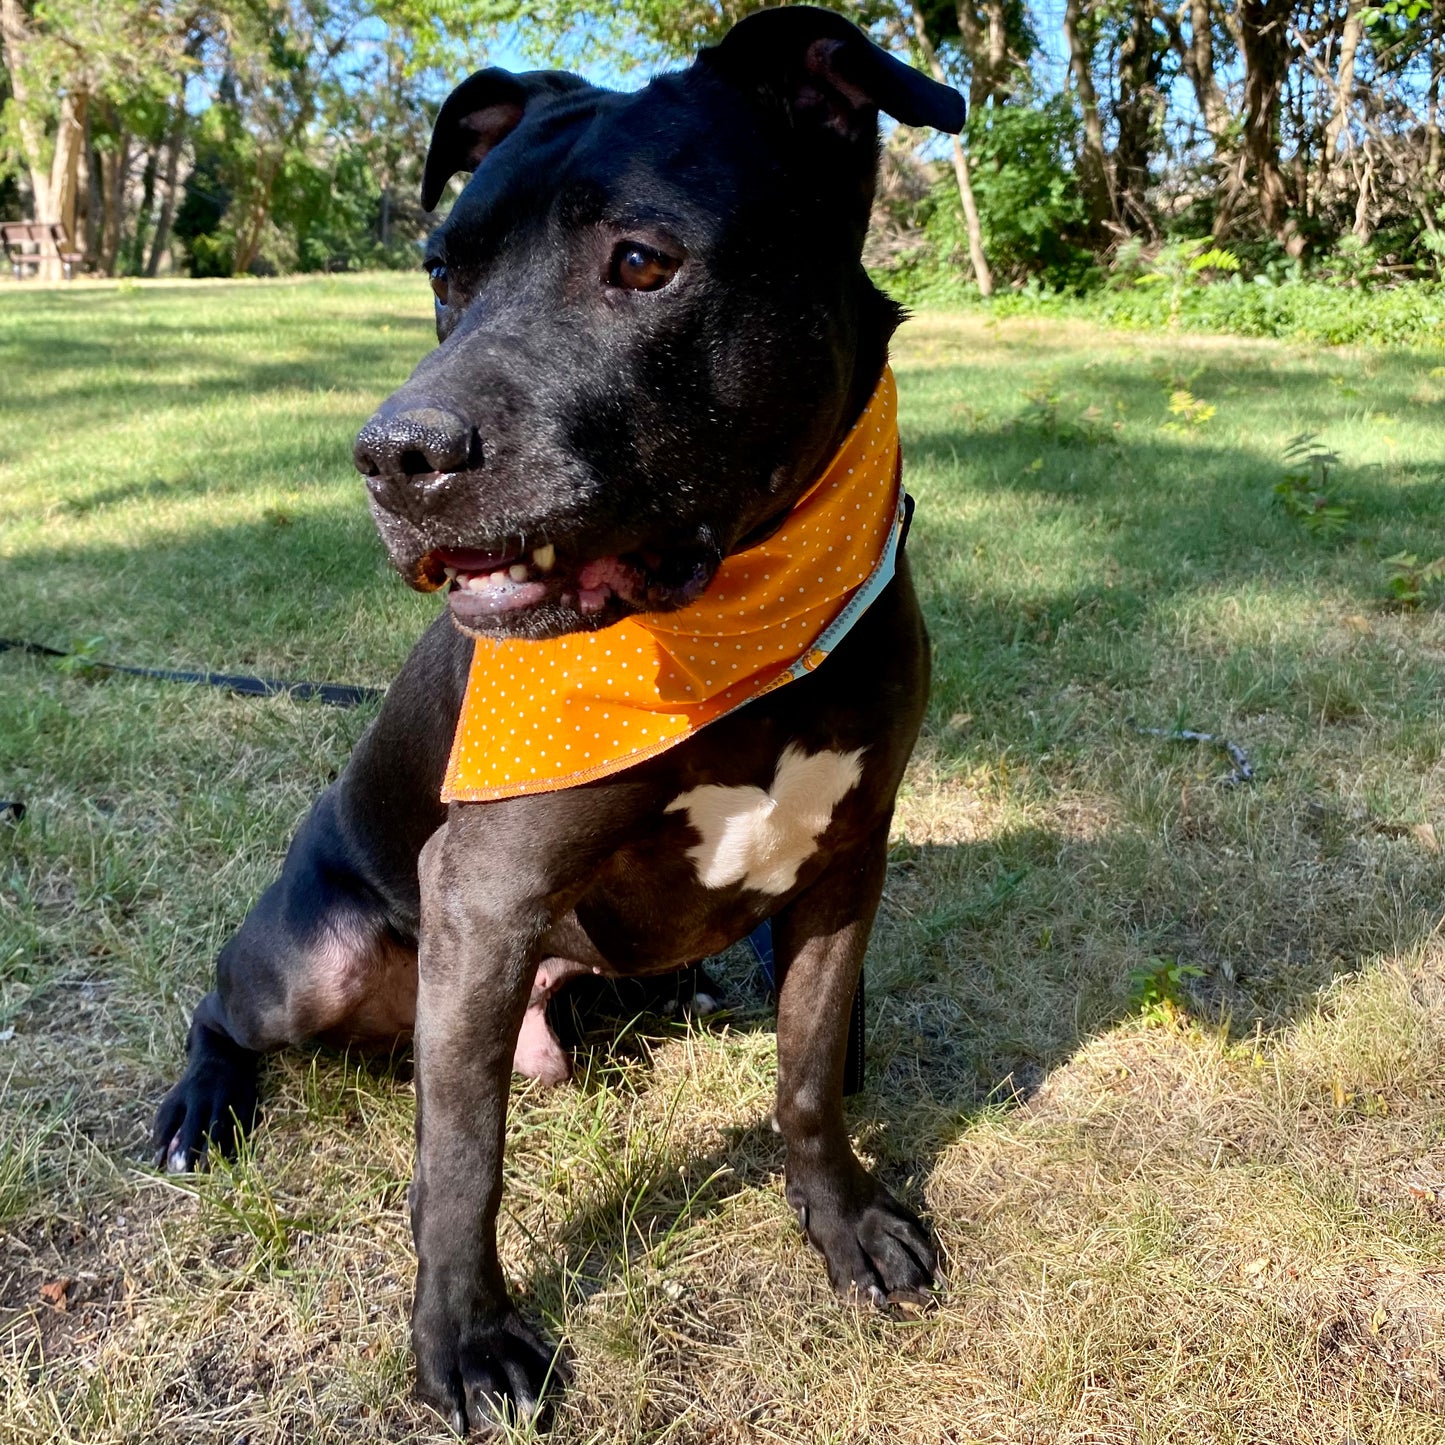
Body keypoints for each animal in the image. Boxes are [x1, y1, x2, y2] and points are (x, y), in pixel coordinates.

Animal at [152, 8, 965, 1433]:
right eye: (442, 271)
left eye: (640, 262)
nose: (397, 455)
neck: (730, 623)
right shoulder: (486, 889)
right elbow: (463, 1161)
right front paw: (468, 1343)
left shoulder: (842, 865)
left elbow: (809, 1073)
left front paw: (845, 1222)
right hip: (313, 959)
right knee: (220, 1003)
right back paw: (201, 1109)